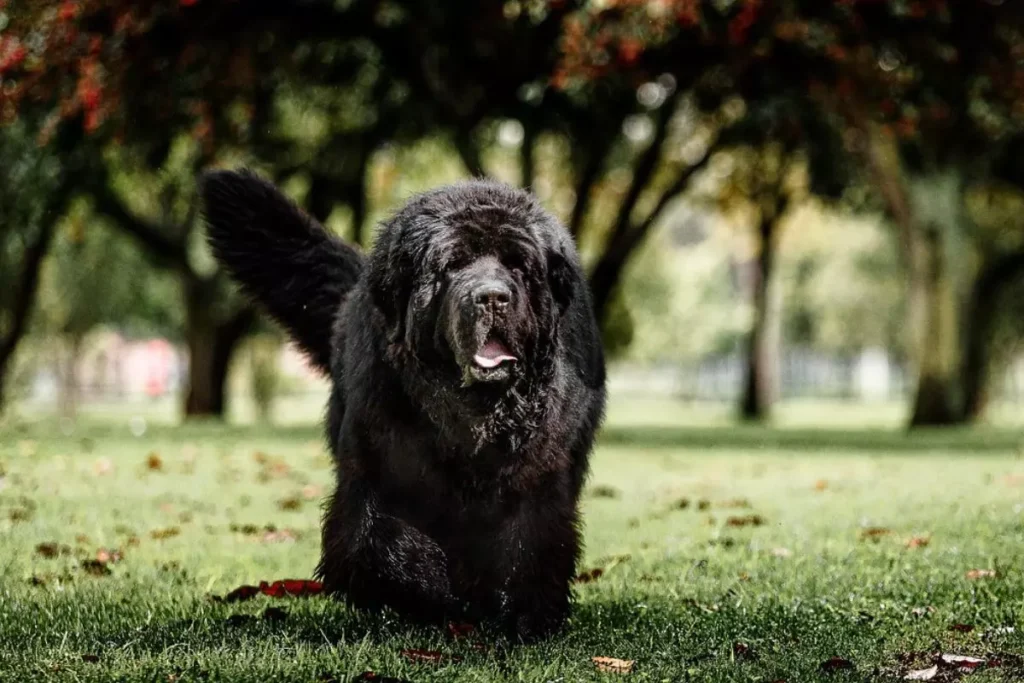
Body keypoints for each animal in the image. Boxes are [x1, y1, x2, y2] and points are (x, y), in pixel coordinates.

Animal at [203, 171, 610, 643]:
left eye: (518, 267)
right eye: (452, 265)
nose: (492, 297)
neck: (472, 414)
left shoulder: (539, 474)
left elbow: (533, 541)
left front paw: (527, 616)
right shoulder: (376, 462)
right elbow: (377, 539)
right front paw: (427, 591)